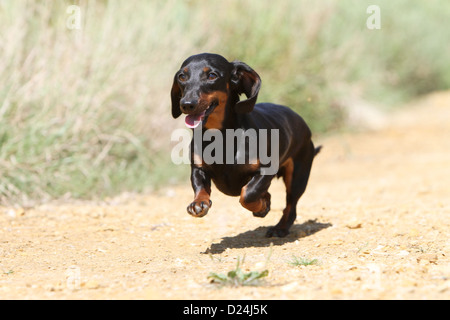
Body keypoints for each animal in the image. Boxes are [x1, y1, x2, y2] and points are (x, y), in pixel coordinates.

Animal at [171, 53, 322, 238]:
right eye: (182, 76)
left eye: (212, 75)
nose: (186, 104)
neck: (223, 138)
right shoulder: (198, 169)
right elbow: (200, 187)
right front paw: (199, 203)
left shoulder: (265, 171)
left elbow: (247, 194)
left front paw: (261, 207)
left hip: (297, 177)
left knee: (291, 206)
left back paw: (280, 228)